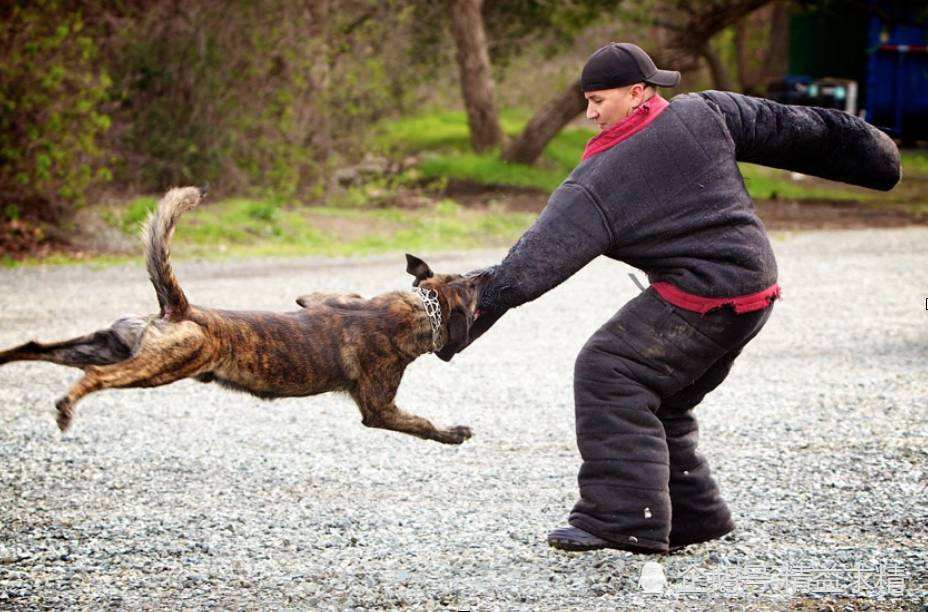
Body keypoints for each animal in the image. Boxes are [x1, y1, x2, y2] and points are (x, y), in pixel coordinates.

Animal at [0, 186, 490, 444]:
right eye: (470, 287)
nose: (486, 273)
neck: (420, 306)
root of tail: (180, 309)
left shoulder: (320, 296)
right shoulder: (379, 408)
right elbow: (421, 425)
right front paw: (453, 432)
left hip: (104, 344)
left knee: (36, 346)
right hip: (158, 366)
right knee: (94, 378)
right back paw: (66, 408)